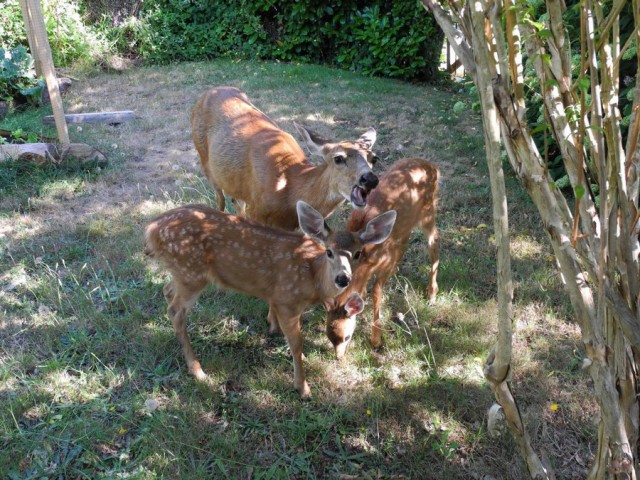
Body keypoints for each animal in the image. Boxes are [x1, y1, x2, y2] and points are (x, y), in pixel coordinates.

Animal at [145, 199, 396, 398]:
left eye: (358, 253)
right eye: (329, 251)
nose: (343, 278)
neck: (311, 277)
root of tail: (151, 229)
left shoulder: (276, 298)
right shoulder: (287, 300)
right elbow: (296, 343)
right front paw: (303, 388)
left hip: (183, 274)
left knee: (167, 290)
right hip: (191, 272)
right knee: (176, 311)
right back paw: (198, 371)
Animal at [190, 86, 380, 231]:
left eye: (374, 158)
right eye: (338, 158)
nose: (370, 179)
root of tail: (208, 92)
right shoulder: (257, 211)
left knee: (236, 201)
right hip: (205, 160)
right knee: (220, 200)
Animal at [328, 157, 438, 356]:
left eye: (345, 337)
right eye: (329, 337)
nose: (338, 357)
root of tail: (432, 166)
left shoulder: (384, 260)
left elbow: (376, 292)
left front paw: (376, 340)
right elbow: (362, 291)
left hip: (428, 211)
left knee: (435, 242)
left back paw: (432, 294)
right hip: (406, 223)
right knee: (406, 240)